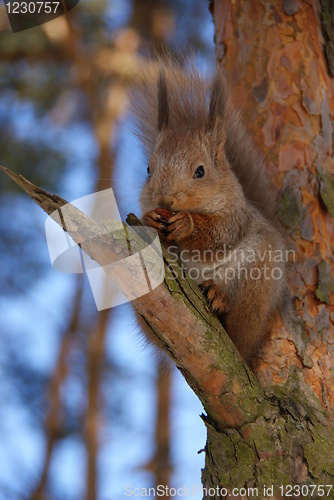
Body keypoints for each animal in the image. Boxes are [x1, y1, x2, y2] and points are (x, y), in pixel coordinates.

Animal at [129, 59, 286, 364]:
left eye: (200, 171)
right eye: (148, 169)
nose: (165, 199)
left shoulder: (236, 214)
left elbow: (219, 234)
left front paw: (187, 225)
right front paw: (149, 220)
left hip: (258, 277)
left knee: (238, 330)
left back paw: (219, 297)